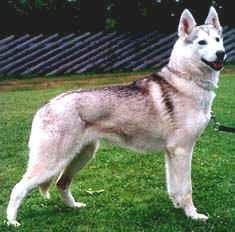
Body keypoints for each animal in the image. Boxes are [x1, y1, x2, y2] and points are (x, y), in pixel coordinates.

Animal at [7, 6, 226, 227]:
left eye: (218, 39)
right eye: (202, 42)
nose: (221, 54)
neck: (186, 81)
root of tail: (45, 106)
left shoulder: (171, 152)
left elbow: (174, 188)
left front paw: (178, 207)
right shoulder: (182, 150)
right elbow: (187, 188)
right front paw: (193, 215)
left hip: (82, 156)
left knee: (61, 183)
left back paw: (74, 206)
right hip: (53, 163)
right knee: (18, 188)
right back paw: (11, 222)